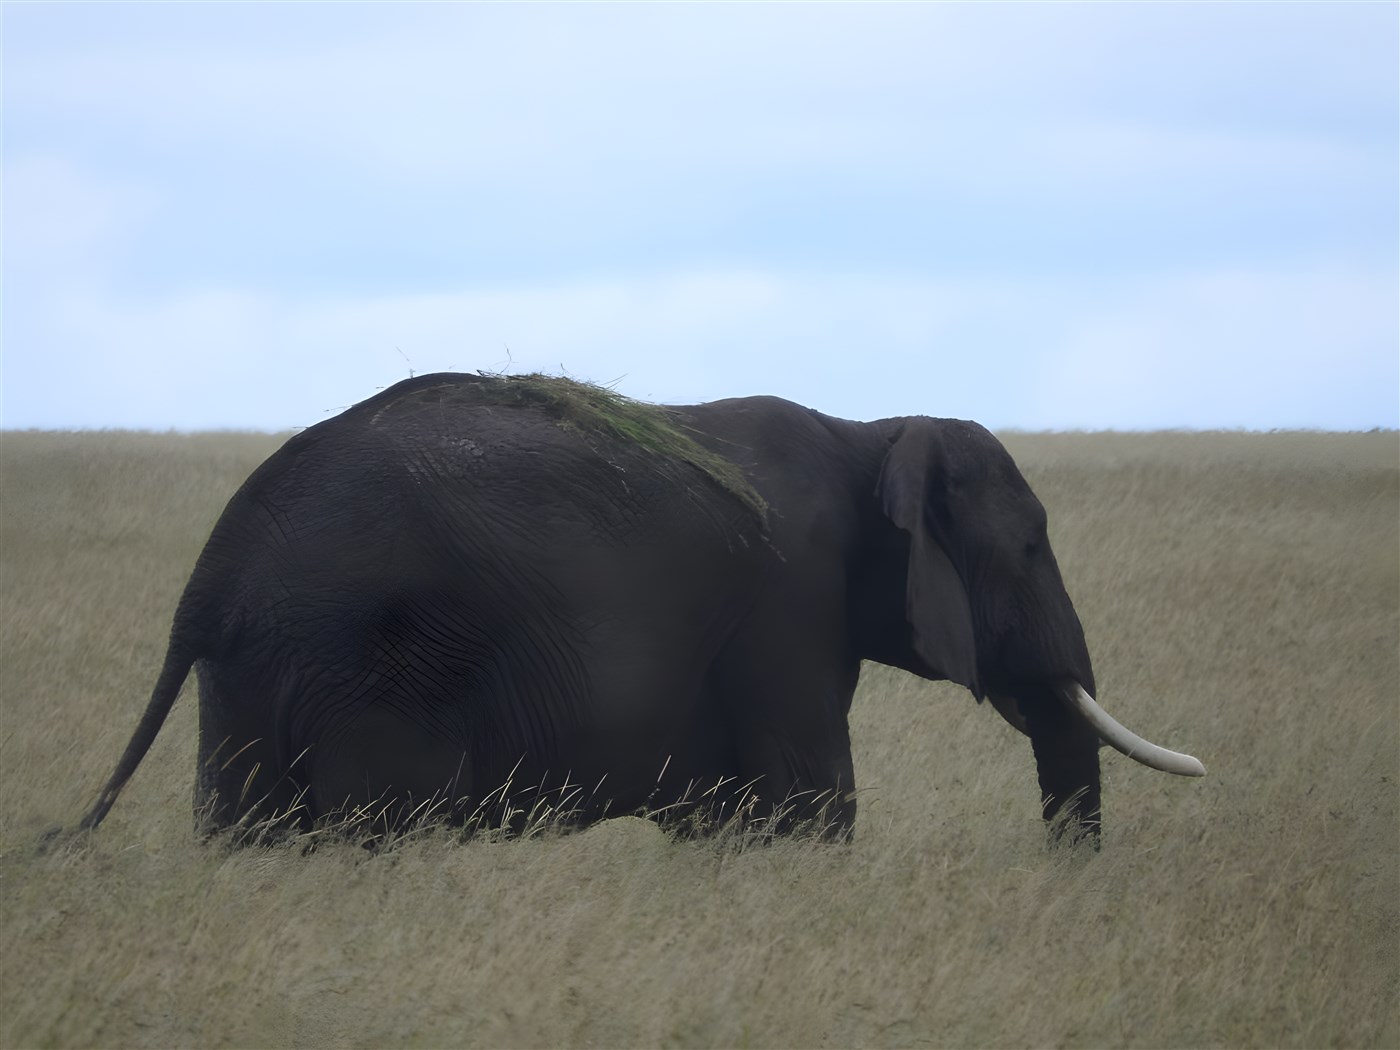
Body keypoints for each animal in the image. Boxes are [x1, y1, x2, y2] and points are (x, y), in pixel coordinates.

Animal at [77, 372, 1203, 844]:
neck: (869, 431)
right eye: (1028, 549)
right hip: (366, 662)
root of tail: (210, 574)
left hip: (256, 671)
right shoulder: (789, 604)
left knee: (246, 830)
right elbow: (813, 804)